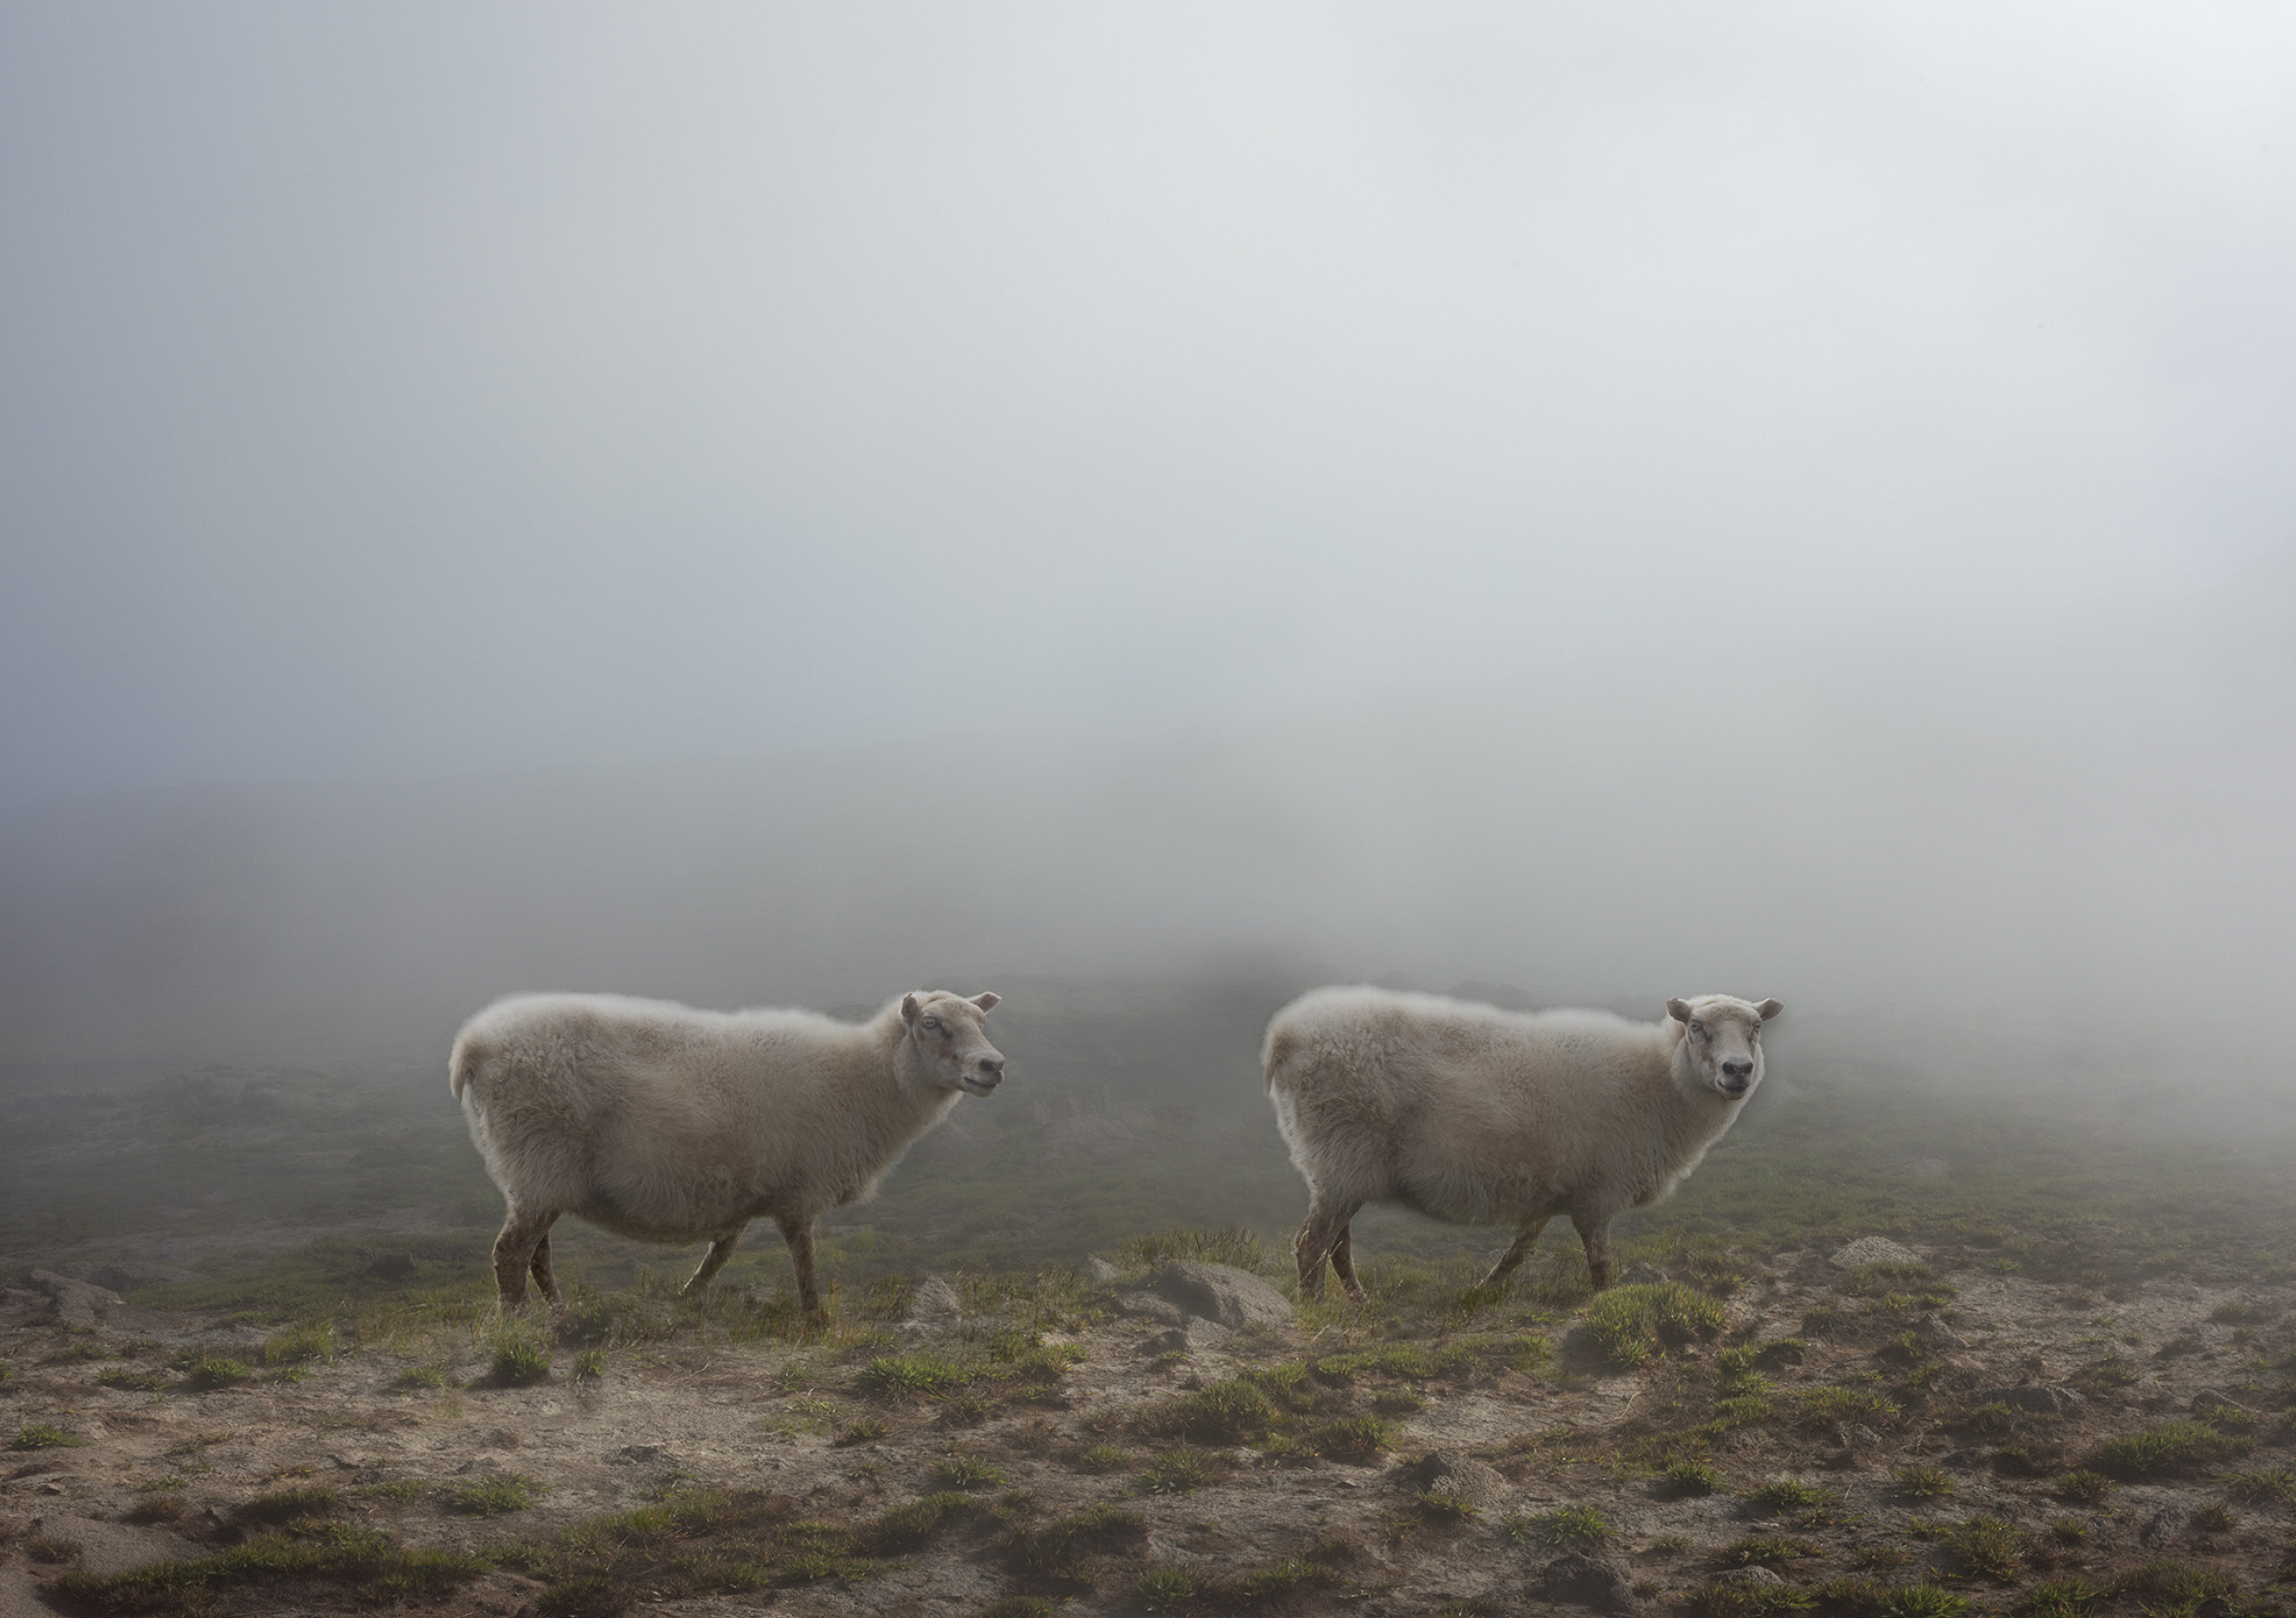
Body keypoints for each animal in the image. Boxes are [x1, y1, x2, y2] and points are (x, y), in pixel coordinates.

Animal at [447, 982, 1005, 1313]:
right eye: (931, 1024)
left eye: (982, 1024)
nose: (993, 1066)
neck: (864, 1079)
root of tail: (473, 1046)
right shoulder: (800, 1189)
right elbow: (804, 1259)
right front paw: (816, 1320)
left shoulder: (737, 1193)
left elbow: (720, 1255)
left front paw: (685, 1300)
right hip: (539, 1157)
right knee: (510, 1253)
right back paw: (518, 1324)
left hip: (534, 1172)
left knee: (536, 1251)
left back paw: (559, 1313)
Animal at [1267, 982, 1781, 1303]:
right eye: (1697, 1027)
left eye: (1756, 1029)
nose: (1737, 1070)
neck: (1658, 1082)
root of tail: (1284, 1037)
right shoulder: (1598, 1192)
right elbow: (1601, 1265)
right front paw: (1601, 1304)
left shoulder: (1548, 1188)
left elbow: (1519, 1252)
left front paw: (1483, 1291)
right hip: (1343, 1153)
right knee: (1312, 1244)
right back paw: (1316, 1313)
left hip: (1340, 1165)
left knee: (1337, 1243)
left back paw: (1358, 1305)